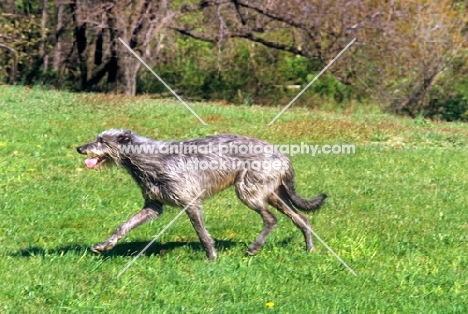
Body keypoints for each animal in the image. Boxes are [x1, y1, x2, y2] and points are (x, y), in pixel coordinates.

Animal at [77, 129, 328, 260]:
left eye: (102, 141)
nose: (79, 148)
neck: (147, 158)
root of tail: (283, 156)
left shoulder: (191, 203)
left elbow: (202, 234)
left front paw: (212, 258)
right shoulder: (152, 206)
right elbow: (124, 226)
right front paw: (105, 245)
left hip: (248, 192)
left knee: (271, 219)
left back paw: (254, 247)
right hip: (273, 195)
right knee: (301, 218)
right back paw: (309, 249)